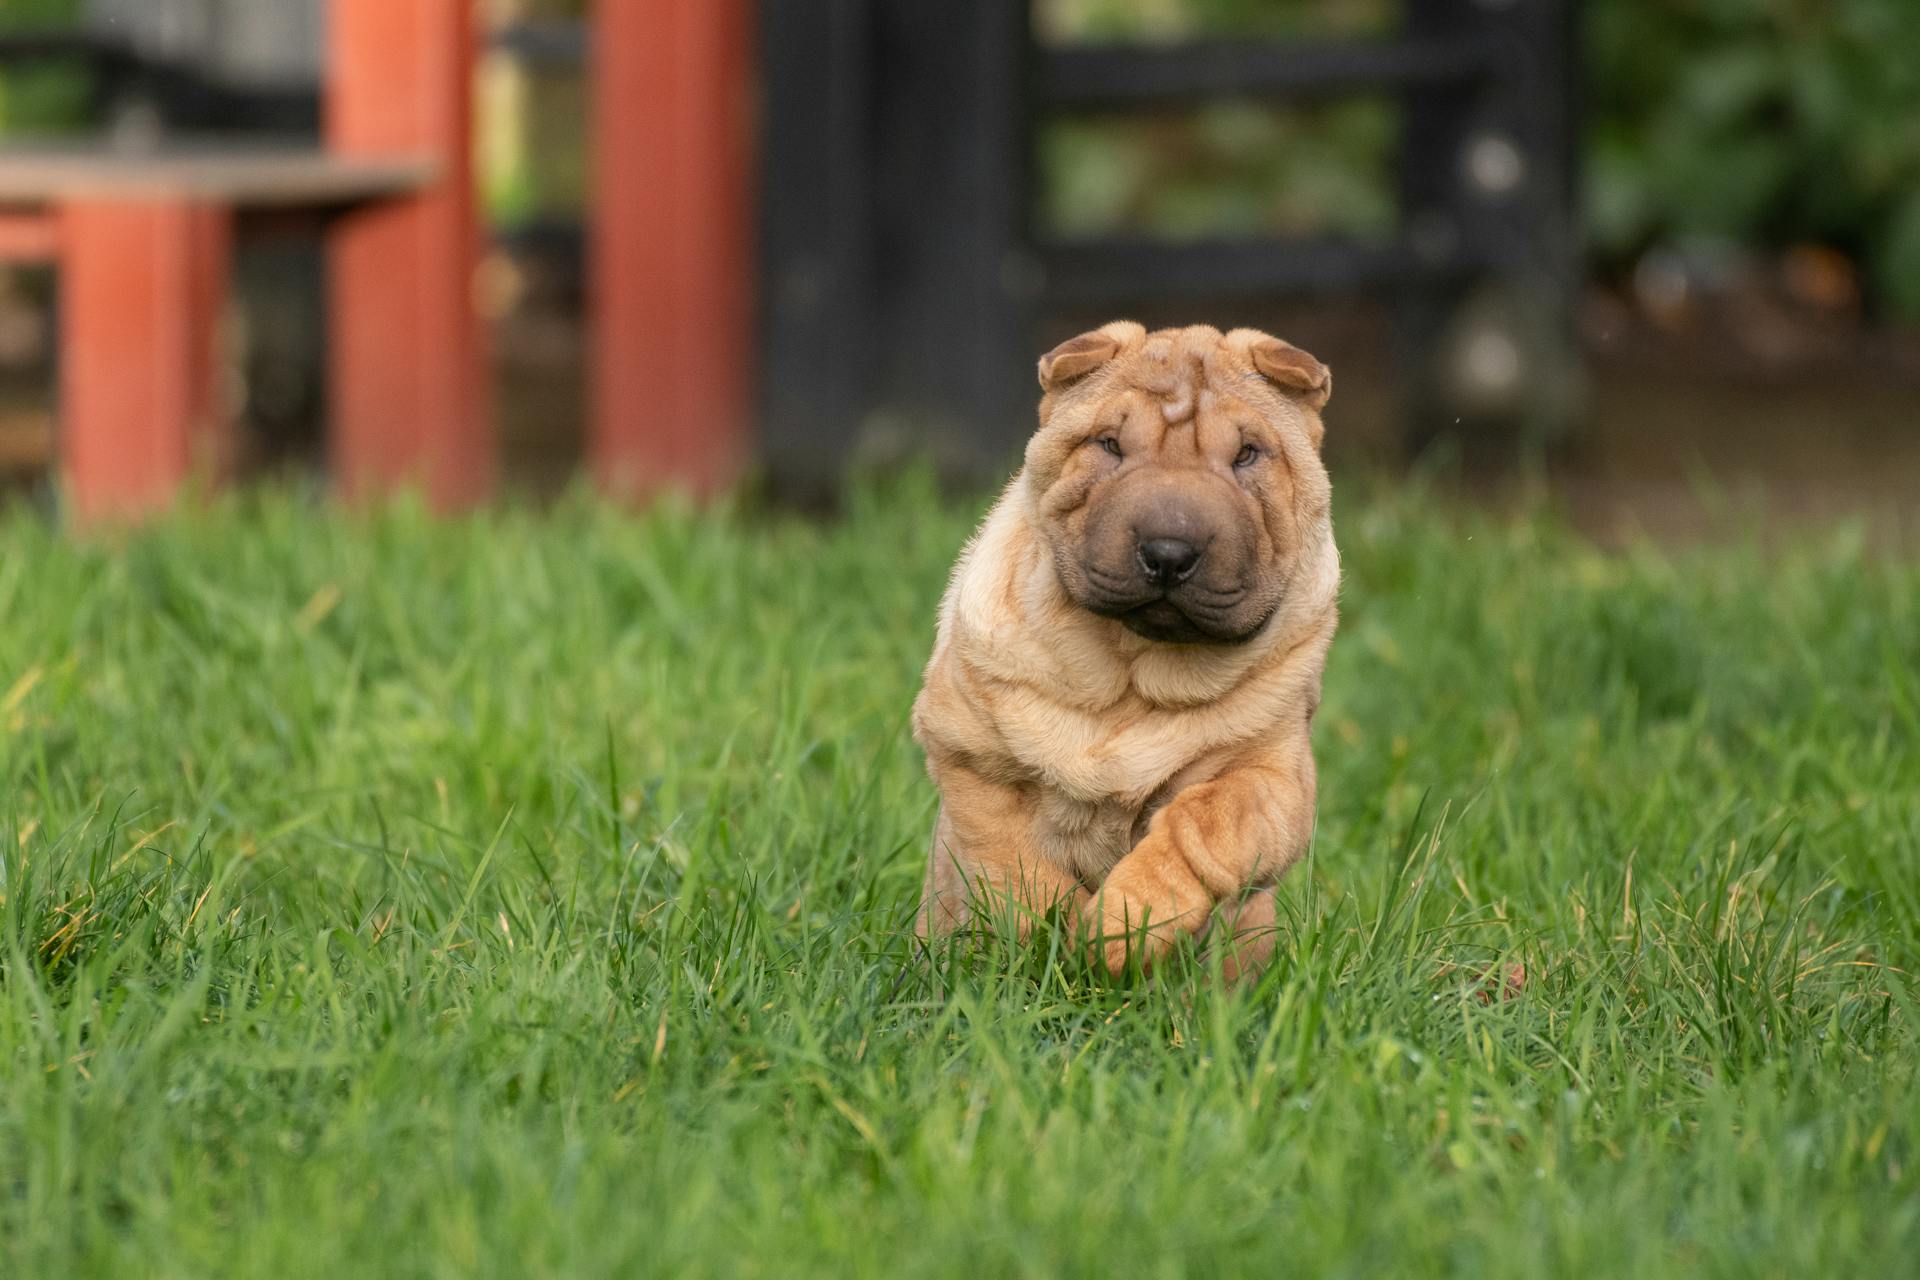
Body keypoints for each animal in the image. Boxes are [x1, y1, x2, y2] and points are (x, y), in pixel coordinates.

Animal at [910, 322, 1336, 982]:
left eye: (1246, 455)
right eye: (1110, 445)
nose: (1169, 551)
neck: (1127, 675)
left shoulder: (1273, 775)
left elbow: (1203, 823)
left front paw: (1120, 930)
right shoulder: (973, 755)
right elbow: (1014, 866)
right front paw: (1051, 948)